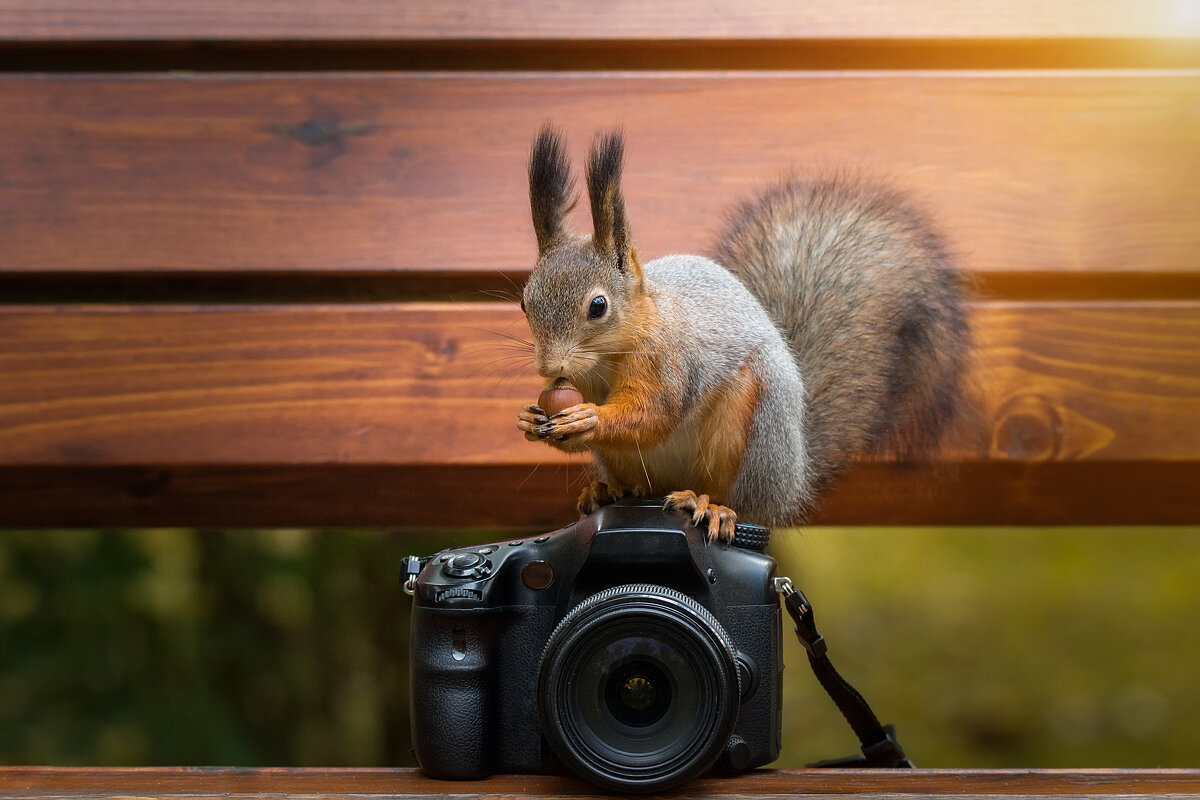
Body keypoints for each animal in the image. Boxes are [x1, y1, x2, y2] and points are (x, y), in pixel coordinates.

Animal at [516, 126, 969, 541]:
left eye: (598, 306)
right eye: (524, 301)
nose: (550, 366)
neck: (606, 359)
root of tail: (793, 482)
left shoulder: (668, 362)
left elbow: (654, 414)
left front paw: (589, 418)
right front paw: (531, 418)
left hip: (749, 427)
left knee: (740, 499)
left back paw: (709, 505)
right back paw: (608, 489)